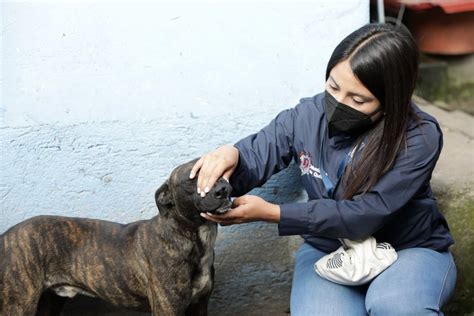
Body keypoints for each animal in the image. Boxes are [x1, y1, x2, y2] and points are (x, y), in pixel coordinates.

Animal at [0, 159, 232, 314]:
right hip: (19, 304)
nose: (223, 189)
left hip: (49, 303)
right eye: (192, 179)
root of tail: (6, 236)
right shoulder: (169, 309)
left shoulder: (200, 305)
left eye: (219, 172)